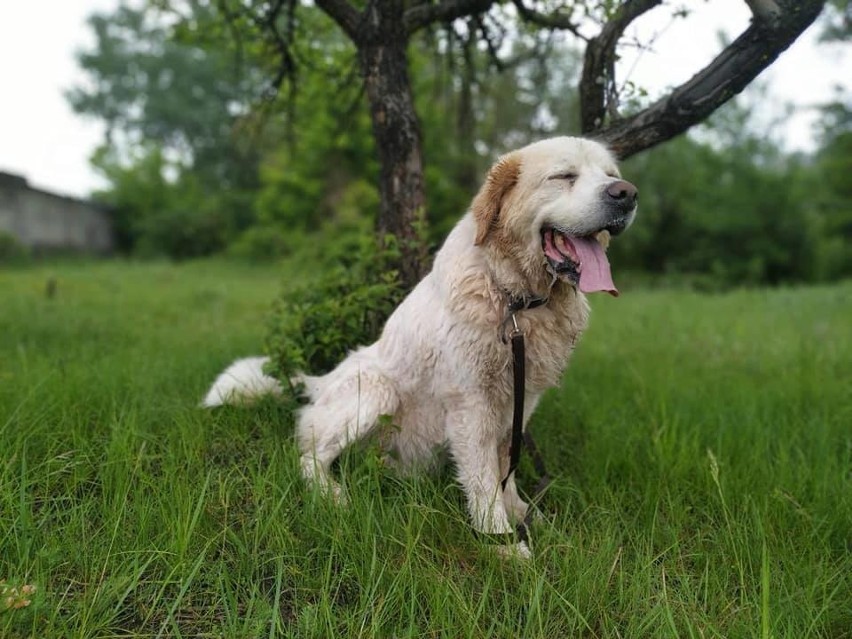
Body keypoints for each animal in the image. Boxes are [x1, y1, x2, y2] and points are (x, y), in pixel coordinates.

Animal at [203, 138, 636, 556]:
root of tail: (320, 381)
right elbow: (484, 482)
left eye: (611, 174)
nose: (626, 194)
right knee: (310, 455)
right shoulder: (472, 405)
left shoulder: (520, 401)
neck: (518, 302)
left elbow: (505, 470)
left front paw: (527, 518)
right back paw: (333, 496)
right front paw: (503, 544)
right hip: (375, 390)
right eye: (564, 176)